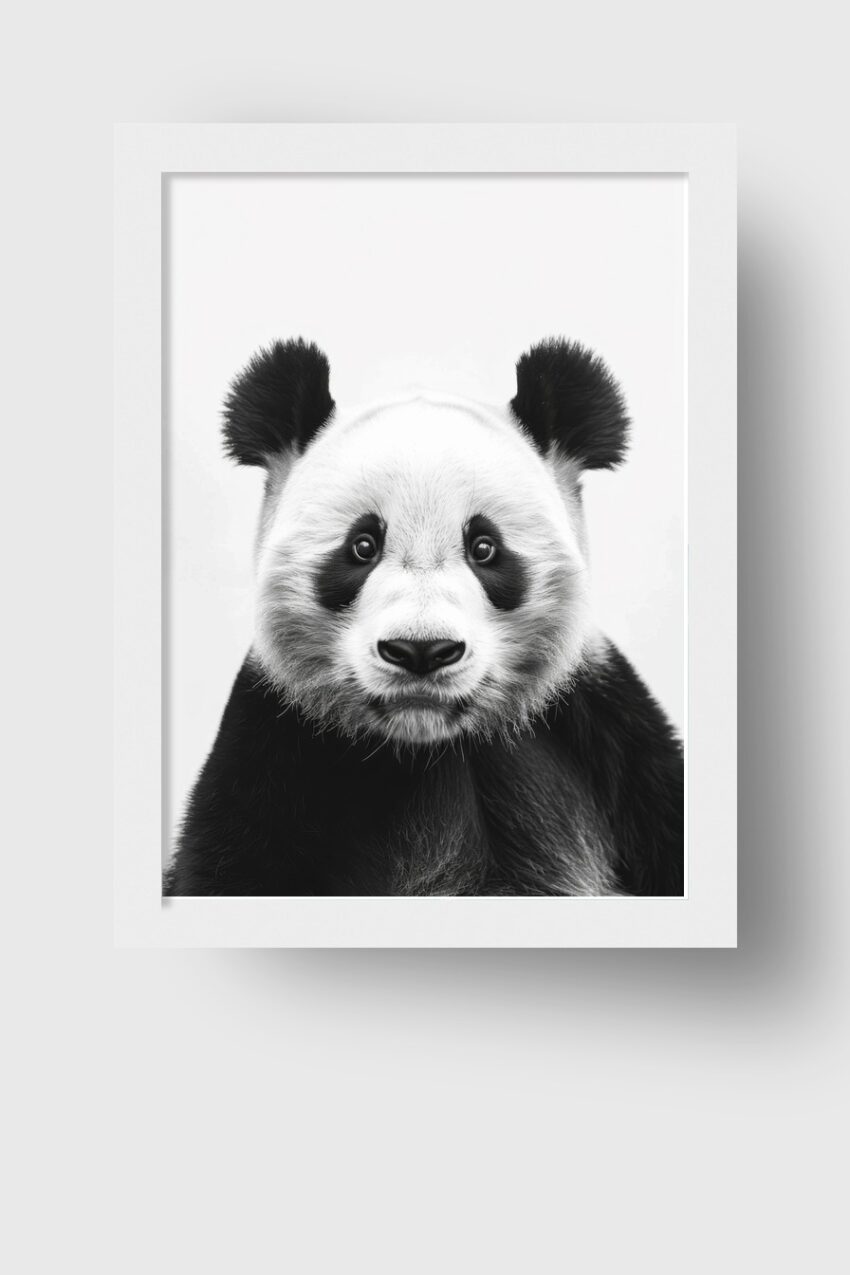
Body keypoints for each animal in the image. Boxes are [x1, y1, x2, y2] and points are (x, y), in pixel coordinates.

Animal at [164, 337, 683, 897]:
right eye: (362, 546)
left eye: (485, 548)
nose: (421, 651)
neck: (425, 750)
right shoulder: (274, 747)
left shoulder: (602, 732)